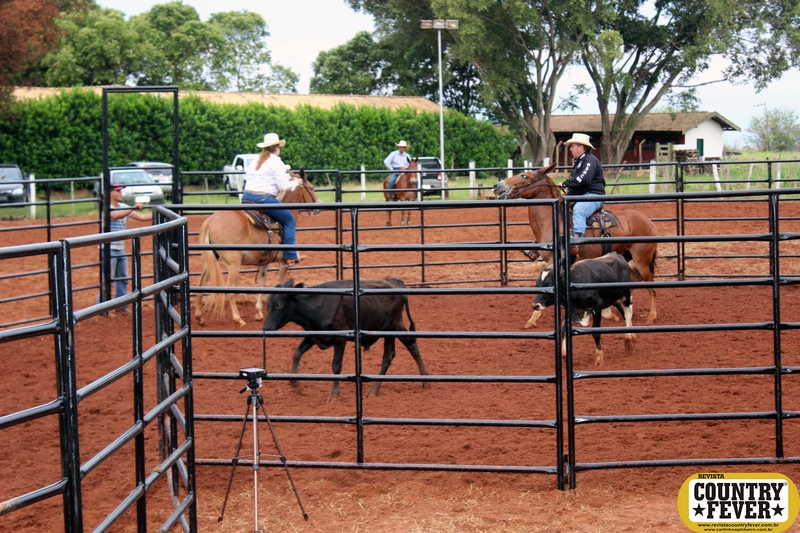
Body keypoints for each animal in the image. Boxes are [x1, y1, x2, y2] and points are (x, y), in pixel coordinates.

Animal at [194, 167, 322, 327]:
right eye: (311, 188)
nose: (319, 206)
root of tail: (210, 221)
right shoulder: (283, 262)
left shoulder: (264, 262)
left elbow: (262, 284)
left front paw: (259, 313)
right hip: (233, 263)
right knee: (229, 290)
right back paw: (239, 319)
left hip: (209, 260)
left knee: (201, 284)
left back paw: (199, 317)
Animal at [493, 163, 658, 329]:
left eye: (524, 176)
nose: (496, 185)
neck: (555, 221)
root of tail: (648, 222)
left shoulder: (554, 261)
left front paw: (532, 320)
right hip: (626, 256)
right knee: (635, 279)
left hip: (641, 260)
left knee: (651, 284)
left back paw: (651, 317)